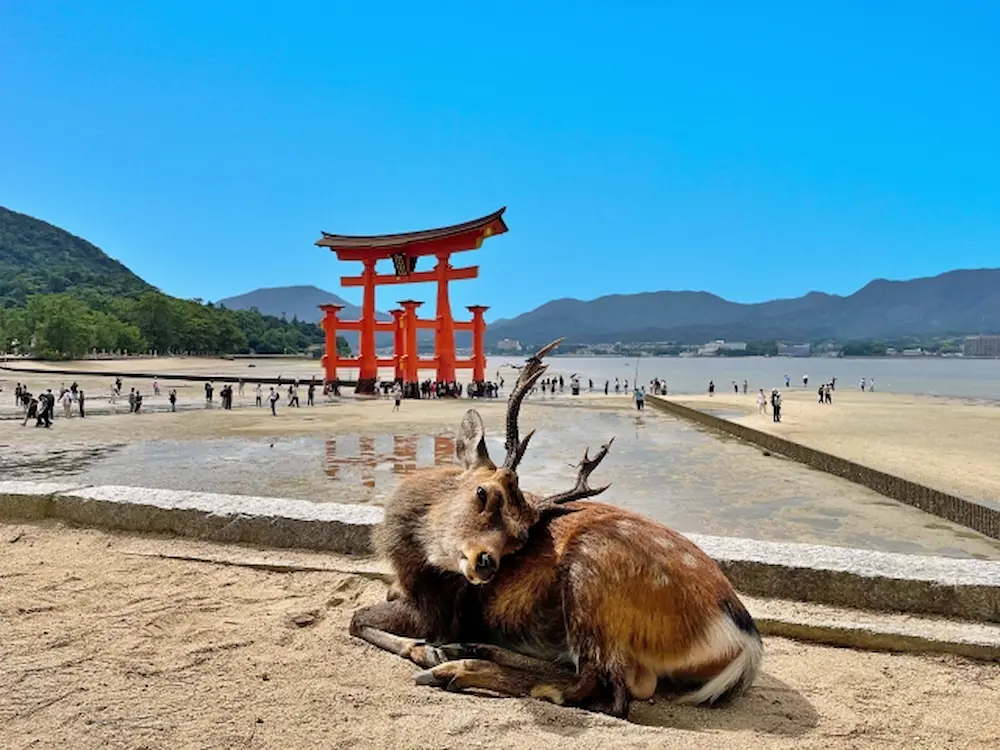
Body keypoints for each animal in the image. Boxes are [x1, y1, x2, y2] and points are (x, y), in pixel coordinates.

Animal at [349, 339, 763, 718]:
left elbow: (356, 620)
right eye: (483, 493)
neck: (410, 562)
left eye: (519, 540)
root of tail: (744, 642)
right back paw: (468, 651)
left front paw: (424, 650)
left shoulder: (436, 610)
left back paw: (456, 668)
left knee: (606, 690)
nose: (486, 564)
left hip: (590, 573)